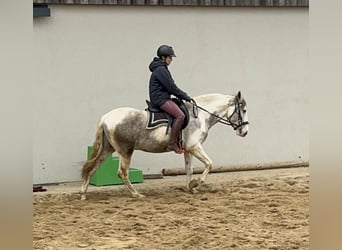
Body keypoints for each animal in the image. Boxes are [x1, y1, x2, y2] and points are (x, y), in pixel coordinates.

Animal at [81, 90, 250, 199]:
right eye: (243, 110)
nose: (245, 132)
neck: (200, 116)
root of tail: (106, 117)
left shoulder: (188, 150)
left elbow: (189, 169)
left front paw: (190, 188)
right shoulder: (195, 147)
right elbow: (209, 164)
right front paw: (195, 184)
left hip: (107, 149)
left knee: (93, 167)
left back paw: (83, 193)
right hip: (125, 151)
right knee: (122, 172)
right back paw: (136, 194)